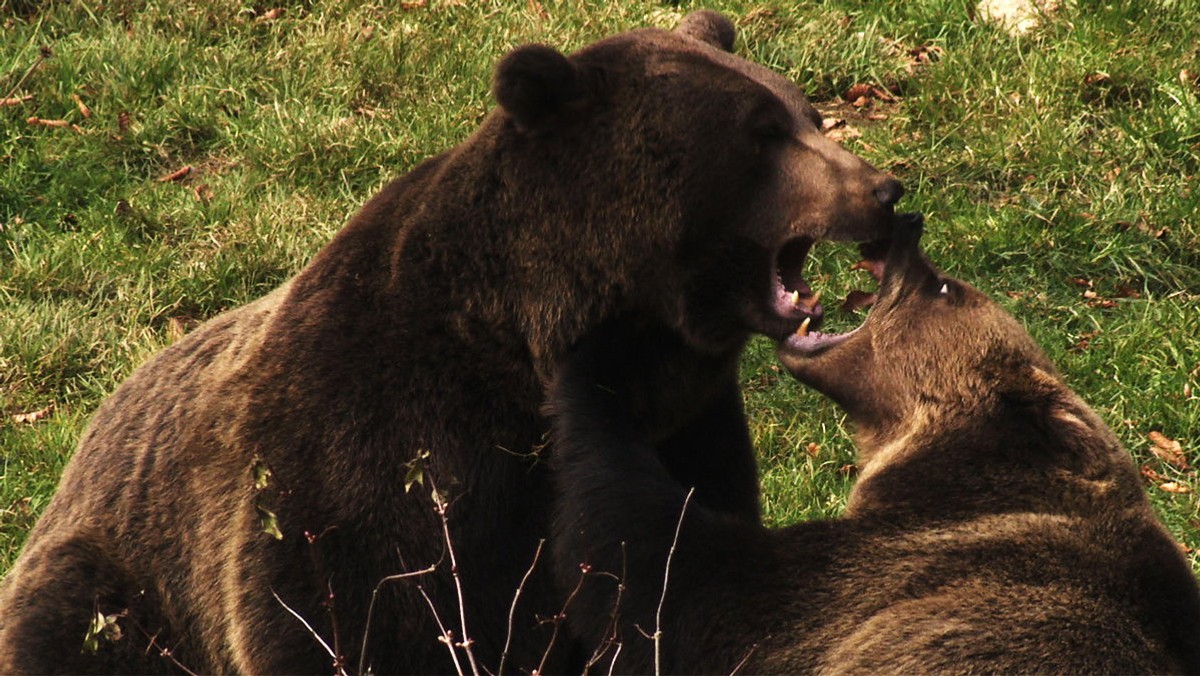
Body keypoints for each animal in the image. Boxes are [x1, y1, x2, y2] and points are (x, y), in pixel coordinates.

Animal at [0, 10, 902, 676]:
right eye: (760, 133)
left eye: (806, 114)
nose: (884, 190)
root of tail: (89, 432)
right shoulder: (371, 452)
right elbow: (356, 617)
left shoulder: (685, 435)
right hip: (122, 582)